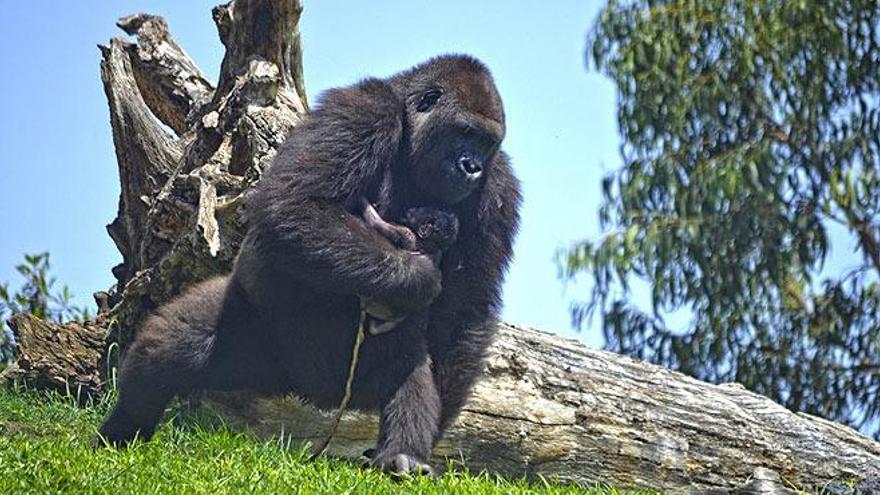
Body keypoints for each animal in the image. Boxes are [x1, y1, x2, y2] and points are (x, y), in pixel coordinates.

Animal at [356, 200, 458, 336]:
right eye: (423, 208)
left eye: (420, 211)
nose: (411, 210)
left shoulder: (407, 233)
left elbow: (377, 223)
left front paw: (362, 201)